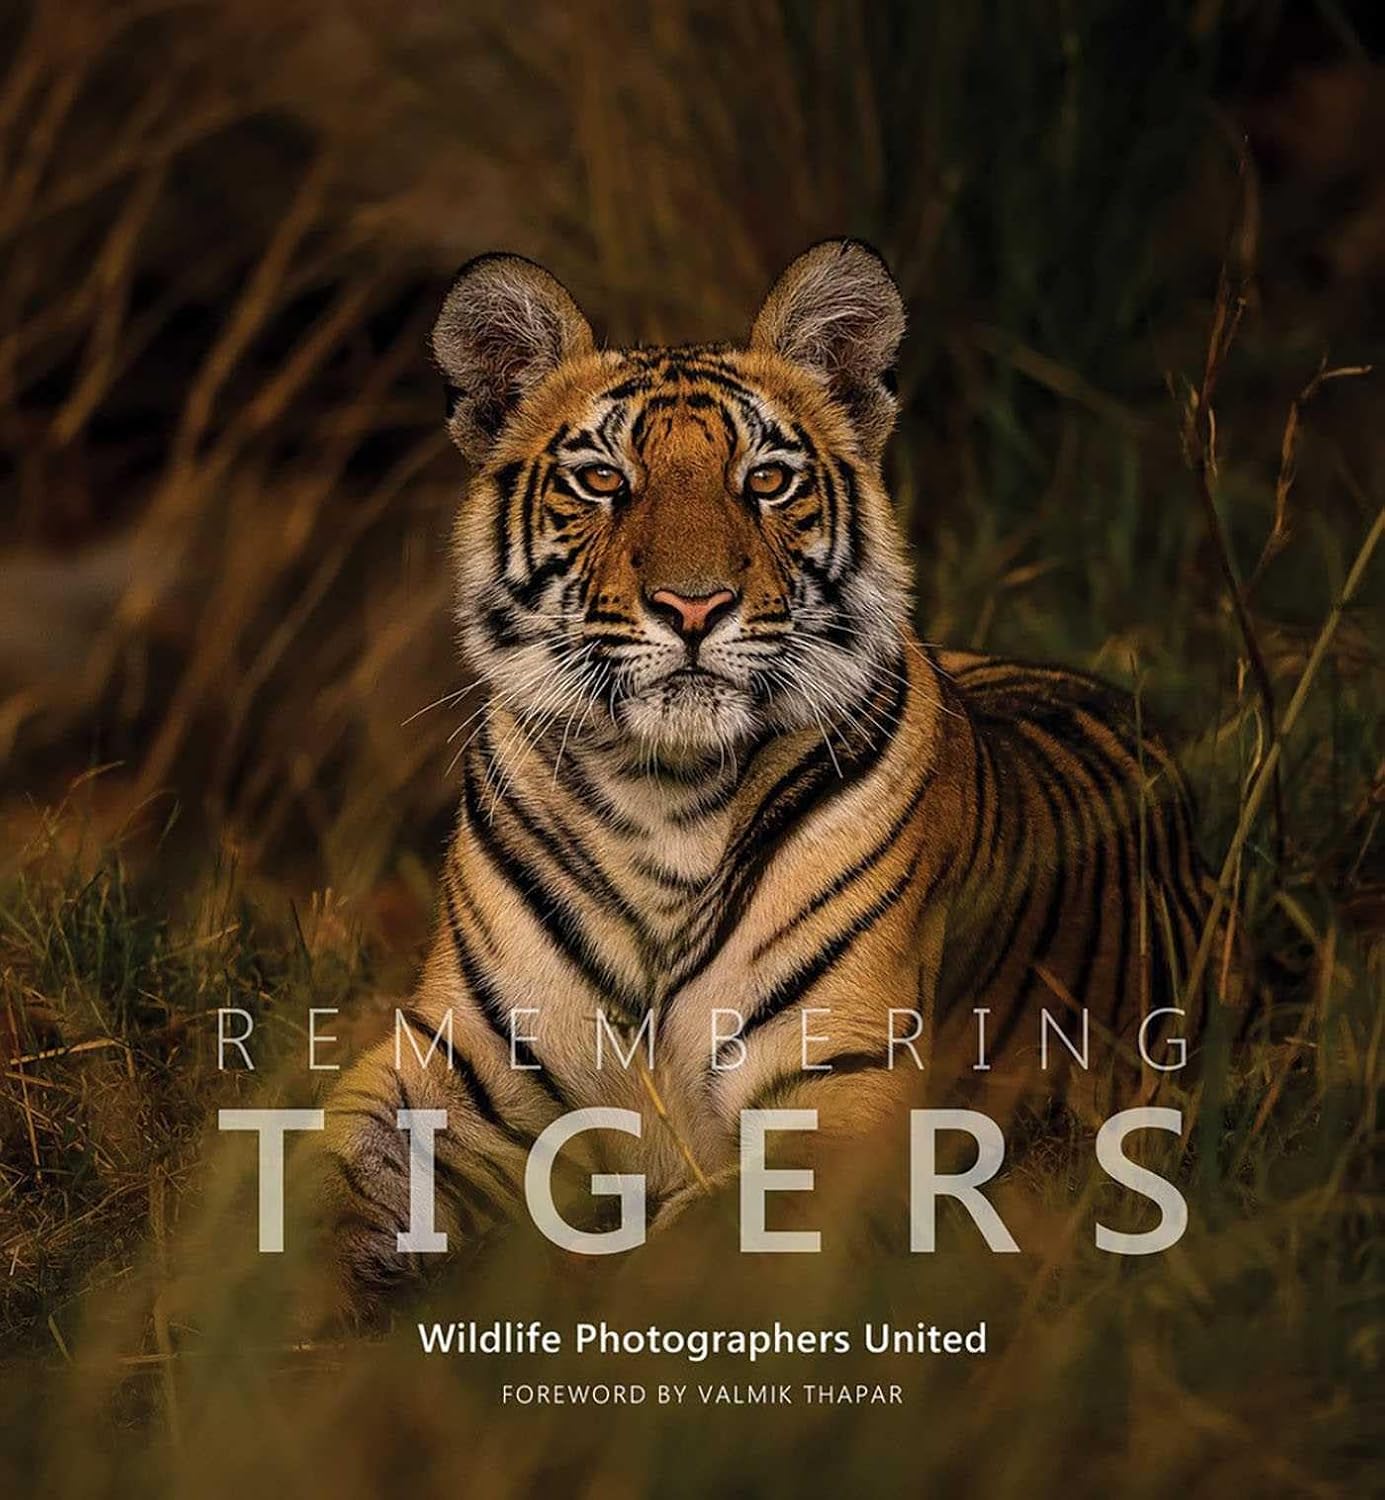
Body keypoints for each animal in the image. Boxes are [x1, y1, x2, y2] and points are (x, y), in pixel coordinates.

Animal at [308, 239, 1218, 1317]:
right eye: (602, 480)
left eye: (768, 480)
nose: (693, 606)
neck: (659, 794)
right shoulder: (455, 1064)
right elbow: (327, 1184)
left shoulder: (839, 1096)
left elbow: (688, 1257)